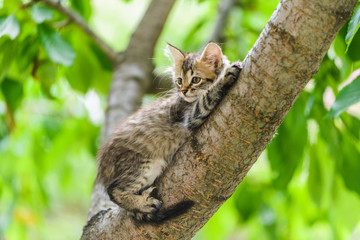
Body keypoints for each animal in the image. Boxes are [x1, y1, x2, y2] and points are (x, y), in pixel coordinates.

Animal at [95, 42, 242, 221]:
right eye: (179, 81)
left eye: (196, 79)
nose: (183, 91)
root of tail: (103, 170)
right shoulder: (190, 116)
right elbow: (208, 95)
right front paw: (226, 76)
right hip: (144, 163)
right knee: (113, 190)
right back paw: (142, 204)